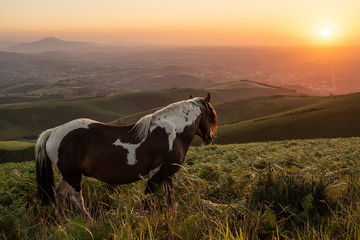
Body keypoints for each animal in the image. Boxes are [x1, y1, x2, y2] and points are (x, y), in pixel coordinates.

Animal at [35, 93, 218, 215]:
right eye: (211, 115)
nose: (210, 137)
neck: (174, 132)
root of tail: (53, 131)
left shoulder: (167, 175)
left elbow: (169, 199)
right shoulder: (157, 175)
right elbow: (147, 200)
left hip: (68, 174)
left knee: (60, 193)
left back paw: (62, 220)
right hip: (73, 175)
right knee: (76, 199)